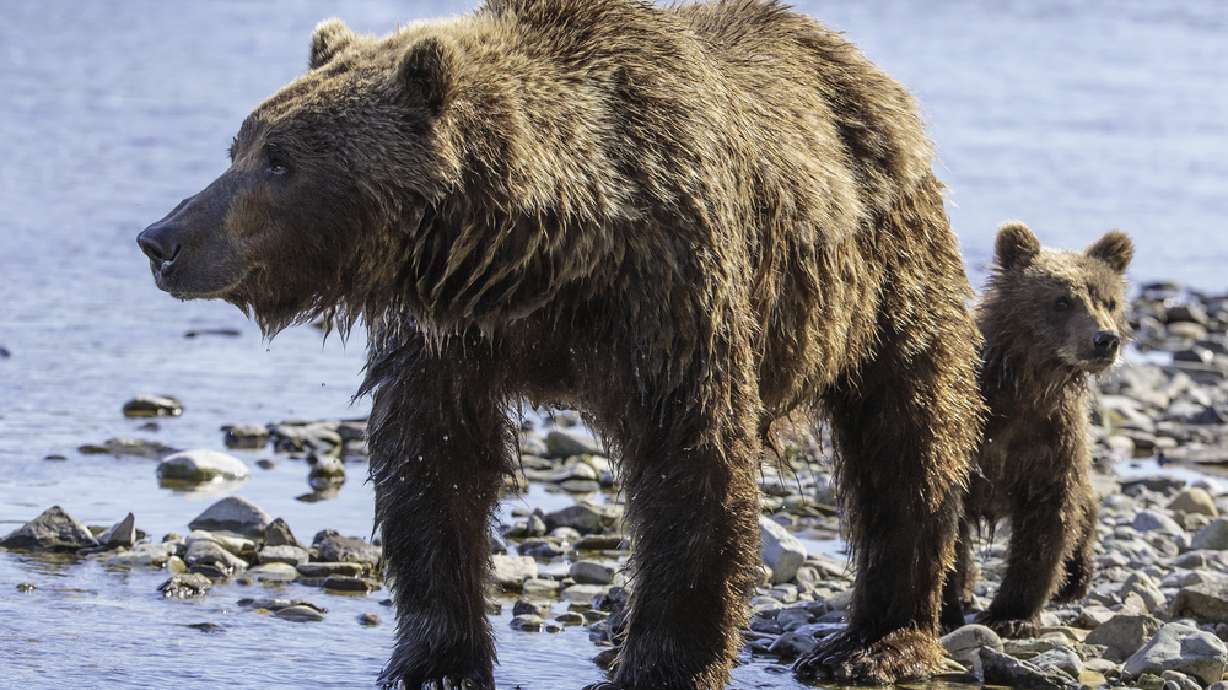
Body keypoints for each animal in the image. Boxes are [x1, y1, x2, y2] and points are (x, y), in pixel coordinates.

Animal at [135, 1, 984, 687]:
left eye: (280, 161)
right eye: (239, 147)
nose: (161, 239)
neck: (540, 258)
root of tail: (867, 73)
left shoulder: (672, 292)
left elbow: (691, 464)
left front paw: (664, 663)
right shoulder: (449, 334)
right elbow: (432, 465)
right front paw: (436, 660)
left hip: (884, 275)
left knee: (906, 442)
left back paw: (876, 640)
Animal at [940, 222, 1133, 636]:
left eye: (1109, 301)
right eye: (1061, 301)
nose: (1105, 340)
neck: (1029, 387)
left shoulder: (1051, 441)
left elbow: (1047, 525)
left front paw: (1011, 615)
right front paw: (947, 608)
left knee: (1085, 505)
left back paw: (1075, 579)